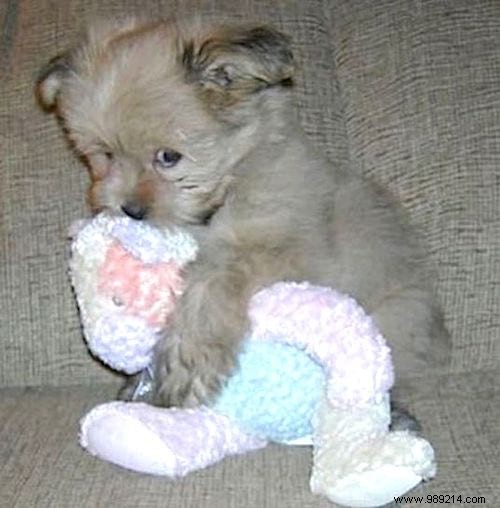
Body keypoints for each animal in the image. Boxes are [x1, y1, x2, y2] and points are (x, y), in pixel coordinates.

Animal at [37, 16, 452, 412]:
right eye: (105, 154)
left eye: (169, 157)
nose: (131, 210)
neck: (234, 182)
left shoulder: (293, 253)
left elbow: (214, 275)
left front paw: (188, 359)